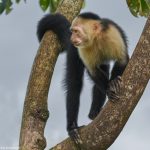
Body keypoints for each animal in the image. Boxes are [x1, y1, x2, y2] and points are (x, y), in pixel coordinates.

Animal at [36, 12, 129, 149]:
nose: (72, 38)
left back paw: (94, 112)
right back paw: (73, 127)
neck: (96, 38)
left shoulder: (112, 33)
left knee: (104, 70)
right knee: (75, 84)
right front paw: (109, 88)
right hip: (74, 51)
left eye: (76, 32)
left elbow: (122, 60)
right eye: (72, 32)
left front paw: (113, 83)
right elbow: (92, 71)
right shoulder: (82, 48)